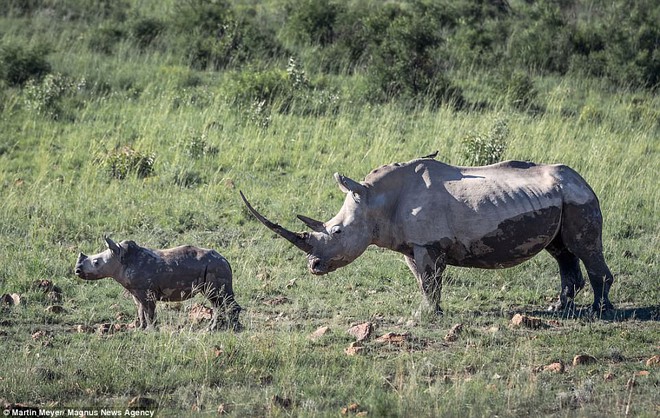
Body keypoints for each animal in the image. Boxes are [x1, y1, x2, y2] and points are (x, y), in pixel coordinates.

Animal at [75, 238, 240, 330]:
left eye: (96, 262)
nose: (77, 270)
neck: (121, 259)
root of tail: (226, 260)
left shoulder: (146, 290)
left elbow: (149, 311)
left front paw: (151, 330)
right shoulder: (136, 291)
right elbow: (140, 310)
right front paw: (140, 330)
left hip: (215, 267)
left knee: (217, 298)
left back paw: (224, 329)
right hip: (215, 267)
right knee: (217, 301)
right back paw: (223, 328)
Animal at [241, 156, 612, 314]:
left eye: (336, 231)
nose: (313, 266)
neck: (376, 201)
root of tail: (583, 180)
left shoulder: (427, 244)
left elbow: (431, 280)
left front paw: (427, 316)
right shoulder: (411, 245)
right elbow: (422, 281)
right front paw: (428, 311)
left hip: (578, 198)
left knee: (584, 247)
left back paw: (601, 311)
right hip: (561, 198)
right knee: (561, 251)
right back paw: (559, 308)